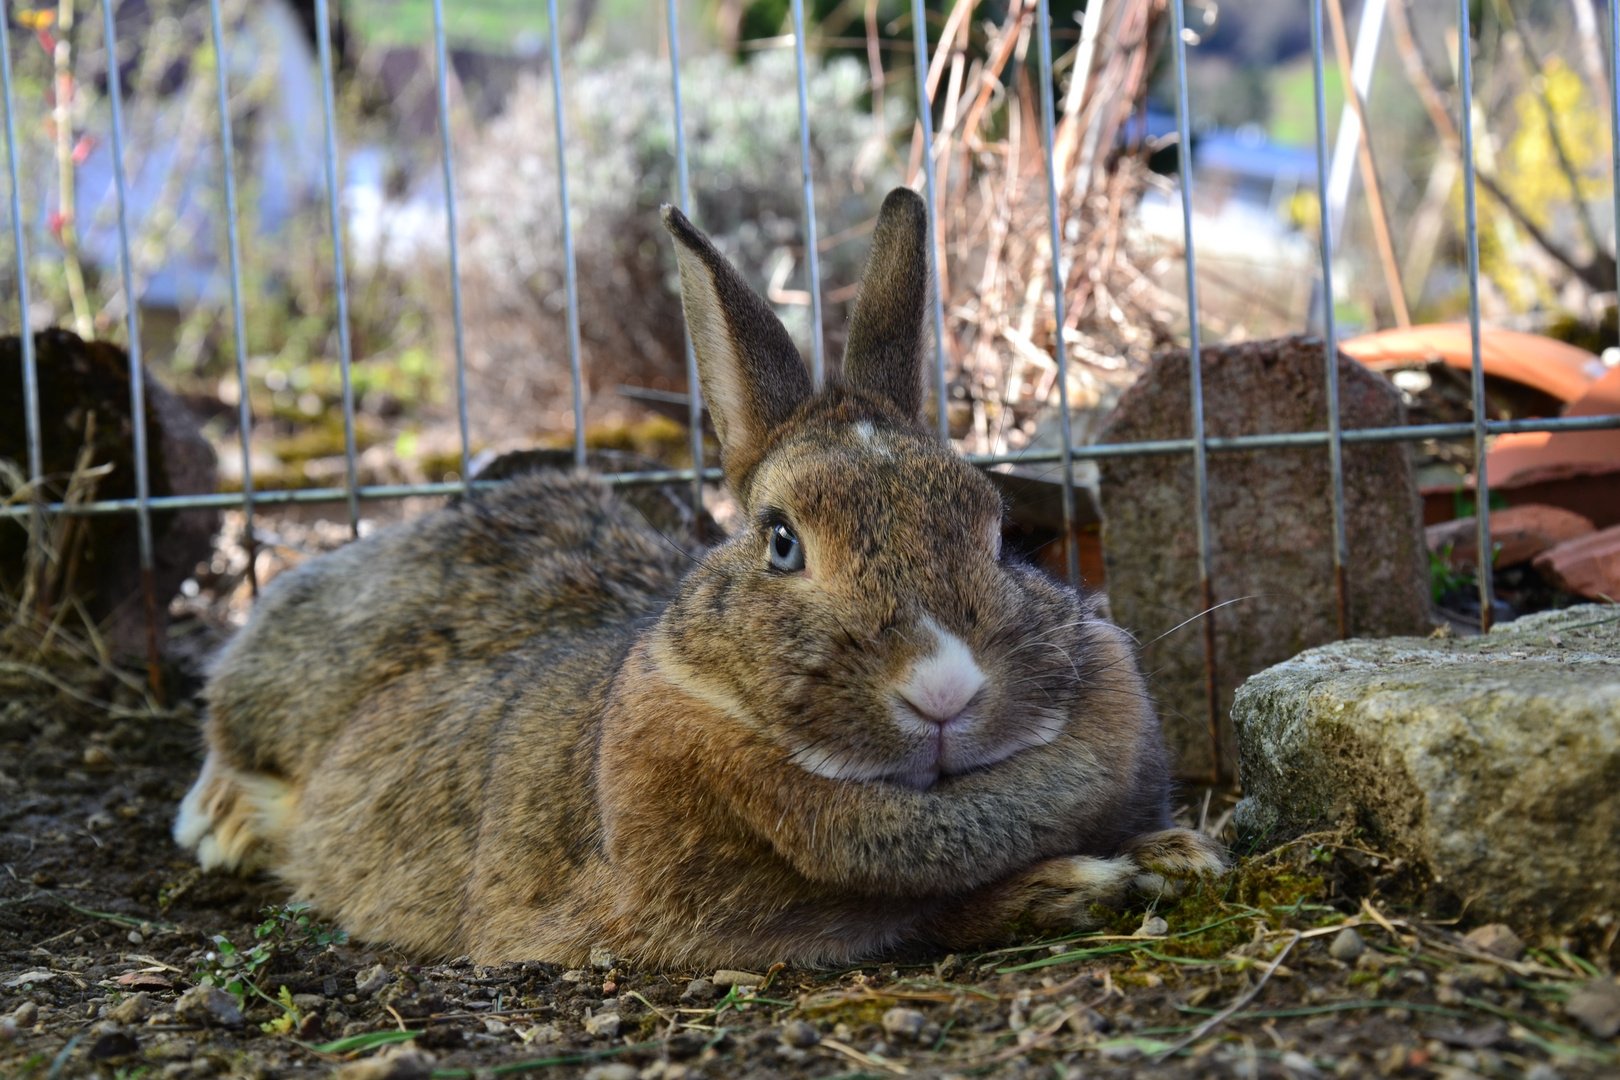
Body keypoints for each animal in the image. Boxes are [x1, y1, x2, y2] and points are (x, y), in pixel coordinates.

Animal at [177, 190, 1218, 965]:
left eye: (999, 531)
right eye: (782, 541)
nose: (943, 690)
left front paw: (1177, 856)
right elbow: (925, 917)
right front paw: (1080, 884)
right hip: (293, 670)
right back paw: (218, 822)